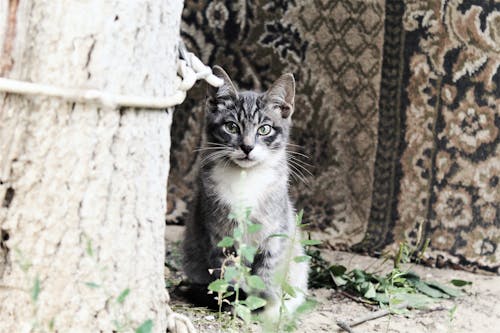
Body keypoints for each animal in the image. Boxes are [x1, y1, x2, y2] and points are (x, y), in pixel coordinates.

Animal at [183, 65, 308, 316]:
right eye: (231, 126)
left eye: (264, 129)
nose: (247, 146)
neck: (246, 177)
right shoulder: (220, 234)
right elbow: (229, 273)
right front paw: (234, 305)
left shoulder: (276, 229)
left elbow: (268, 271)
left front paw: (262, 307)